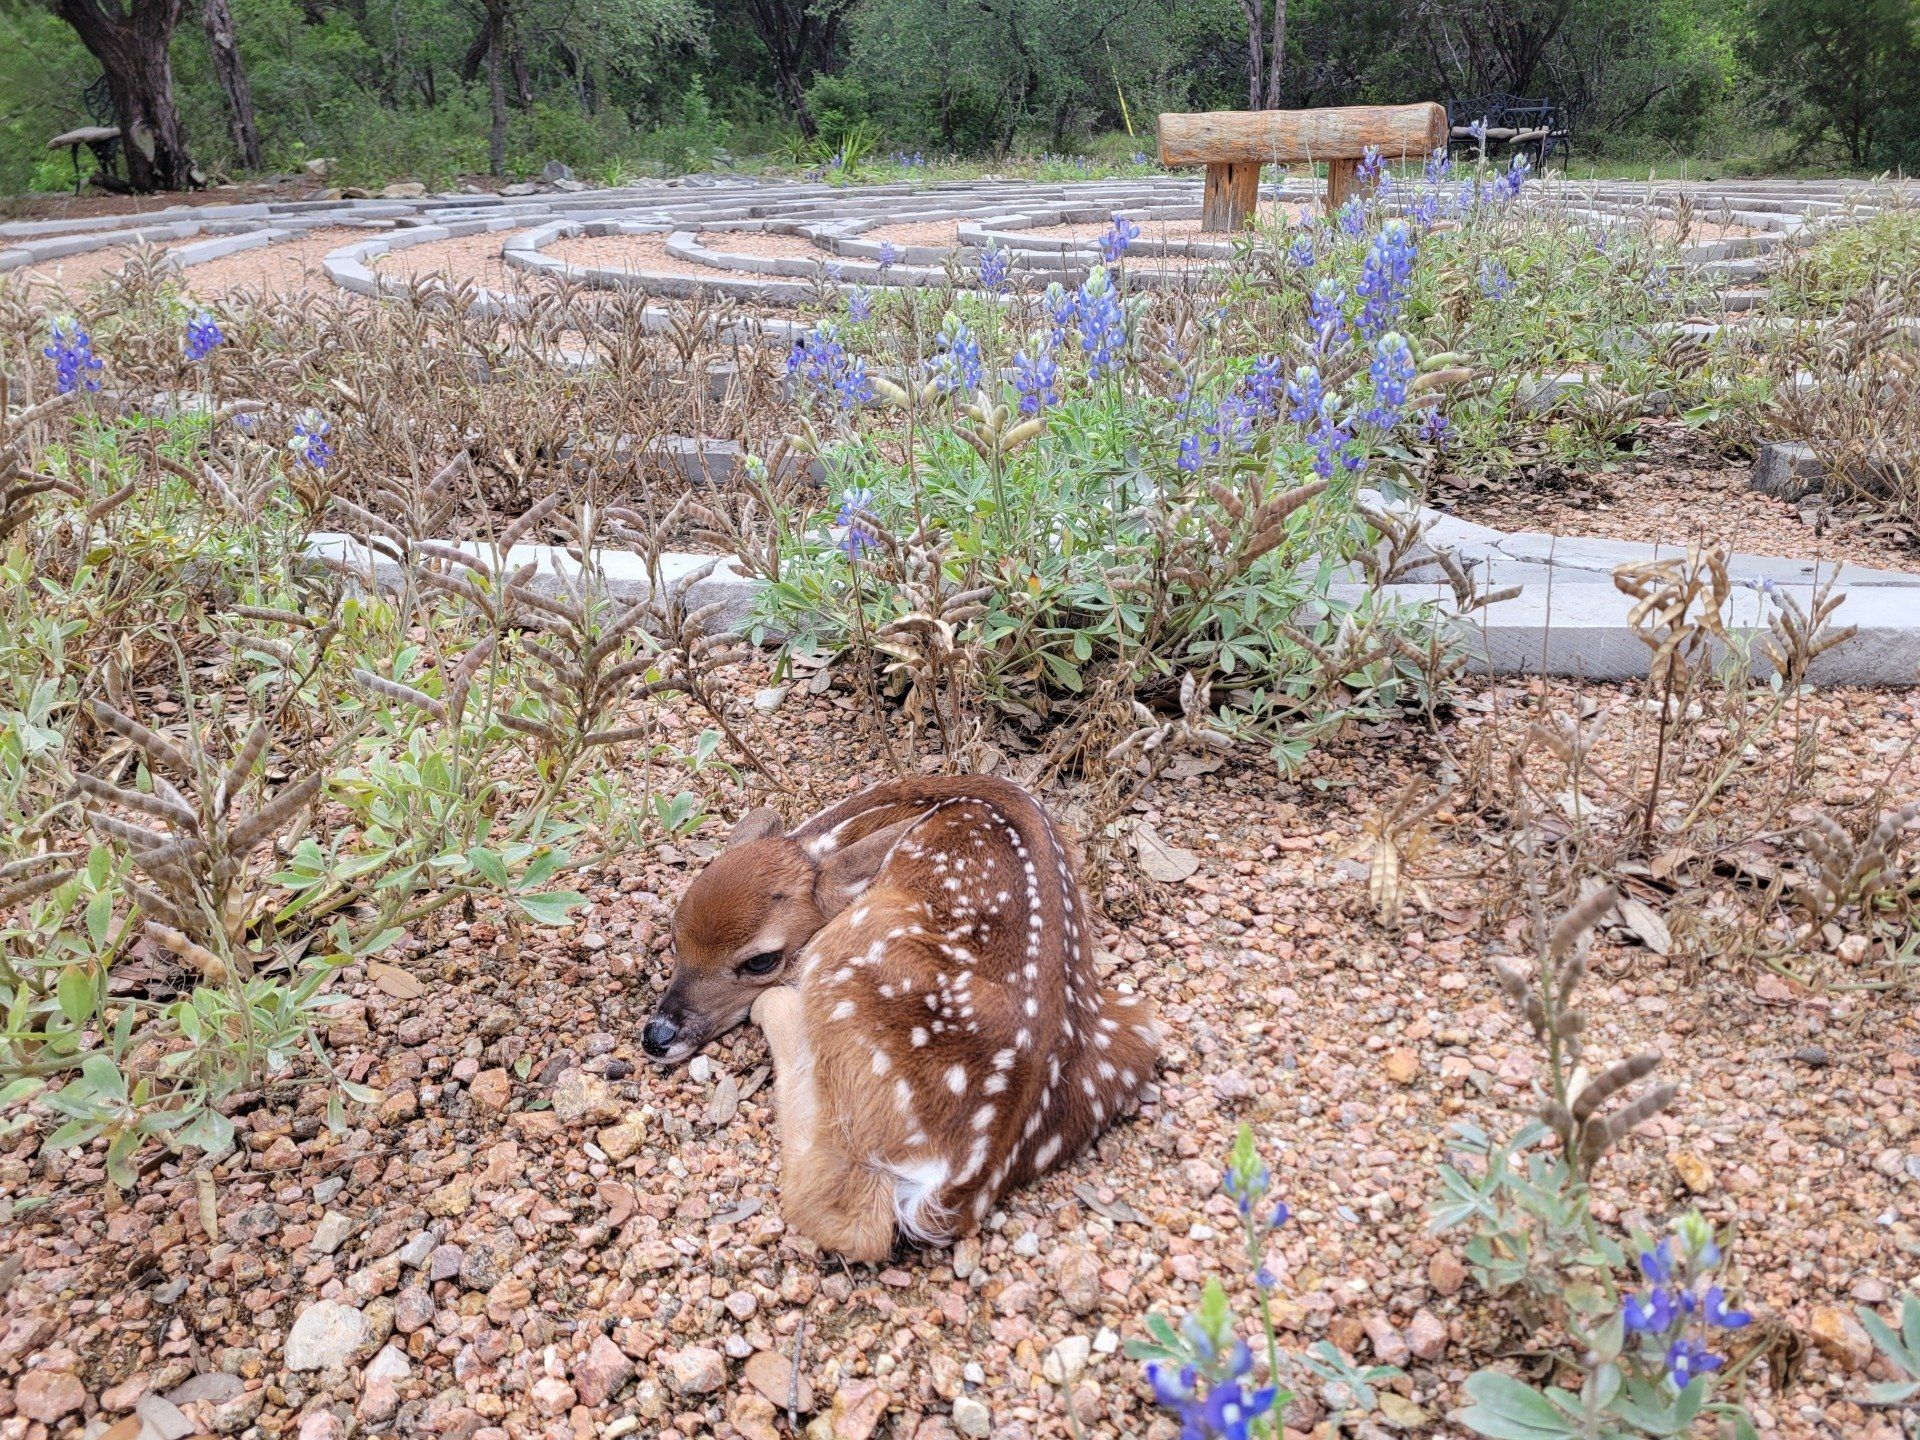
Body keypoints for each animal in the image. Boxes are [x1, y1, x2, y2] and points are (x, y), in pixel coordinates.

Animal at [644, 777, 1159, 1262]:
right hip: (1139, 1025)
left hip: (850, 947)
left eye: (759, 961)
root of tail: (968, 1173)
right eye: (673, 934)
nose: (657, 1035)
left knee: (847, 1215)